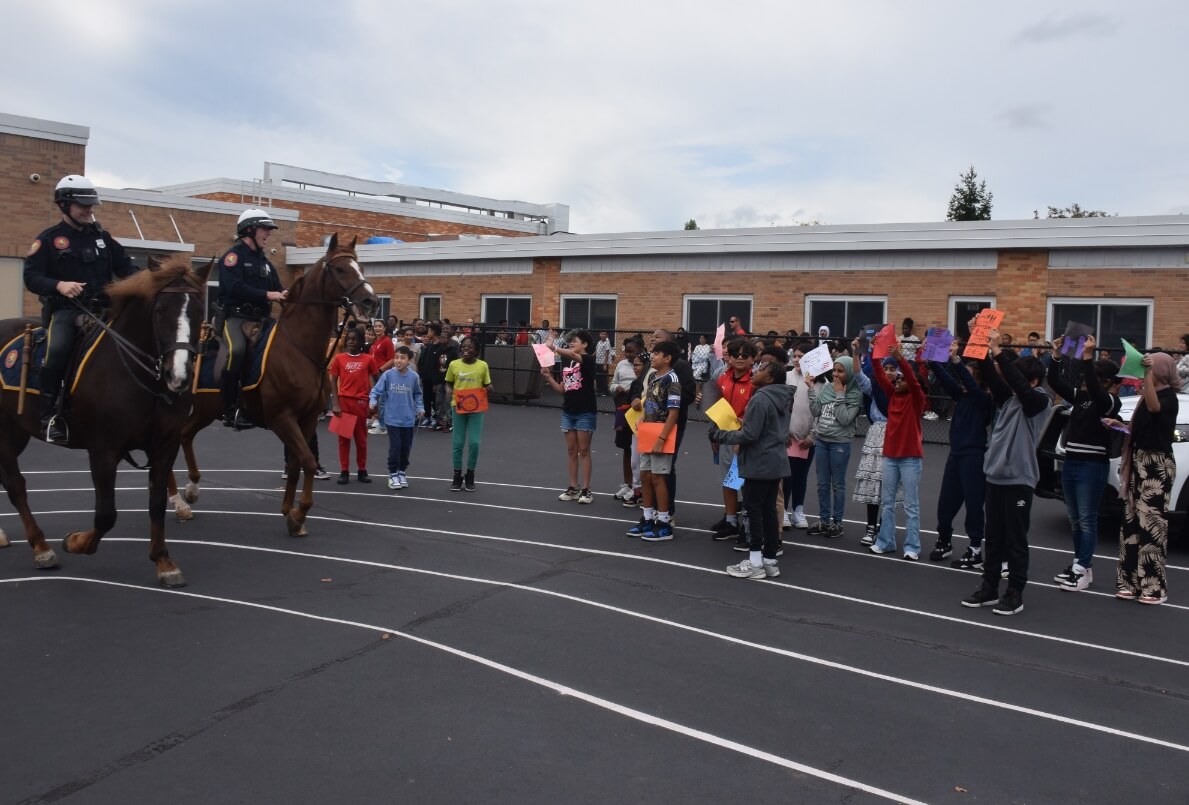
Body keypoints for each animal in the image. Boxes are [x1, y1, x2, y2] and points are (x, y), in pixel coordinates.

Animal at [0, 258, 209, 585]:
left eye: (200, 310)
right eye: (160, 310)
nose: (179, 376)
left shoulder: (165, 446)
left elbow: (157, 502)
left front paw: (163, 561)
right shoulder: (103, 450)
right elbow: (106, 513)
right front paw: (75, 541)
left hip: (16, 430)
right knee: (15, 485)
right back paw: (41, 548)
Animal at [168, 231, 375, 532]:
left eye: (361, 267)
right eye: (339, 269)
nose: (370, 301)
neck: (299, 349)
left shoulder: (307, 419)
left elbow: (298, 463)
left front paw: (290, 512)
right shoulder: (282, 418)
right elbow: (308, 461)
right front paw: (300, 513)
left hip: (205, 410)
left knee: (184, 435)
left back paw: (191, 490)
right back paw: (177, 500)